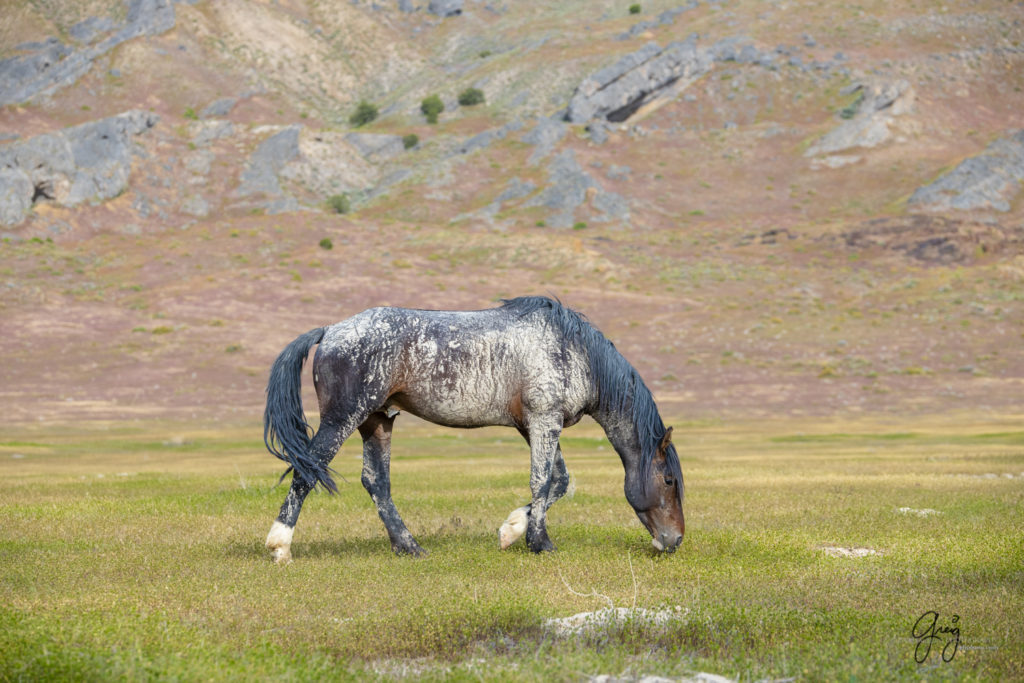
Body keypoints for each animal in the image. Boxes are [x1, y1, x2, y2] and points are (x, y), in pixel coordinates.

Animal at [260, 296, 684, 565]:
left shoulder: (535, 426)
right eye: (667, 481)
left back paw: (409, 547)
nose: (675, 540)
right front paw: (540, 543)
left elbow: (558, 482)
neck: (575, 351)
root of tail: (330, 330)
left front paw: (512, 530)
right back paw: (280, 546)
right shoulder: (545, 421)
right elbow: (542, 481)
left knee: (376, 482)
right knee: (308, 471)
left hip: (376, 421)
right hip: (343, 418)